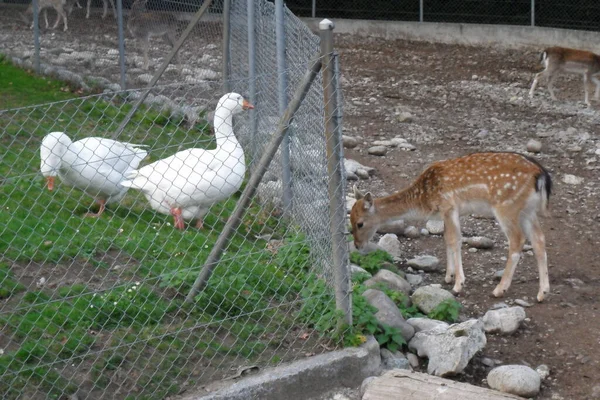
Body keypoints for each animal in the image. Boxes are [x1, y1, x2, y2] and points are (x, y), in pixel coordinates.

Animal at [352, 153, 552, 304]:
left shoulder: (449, 206)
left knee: (517, 240)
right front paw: (448, 276)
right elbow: (447, 238)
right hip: (527, 210)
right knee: (539, 239)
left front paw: (458, 284)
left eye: (360, 223)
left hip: (506, 206)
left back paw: (499, 290)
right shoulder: (445, 212)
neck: (425, 198)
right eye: (350, 219)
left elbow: (455, 239)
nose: (357, 245)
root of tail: (540, 175)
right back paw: (542, 293)